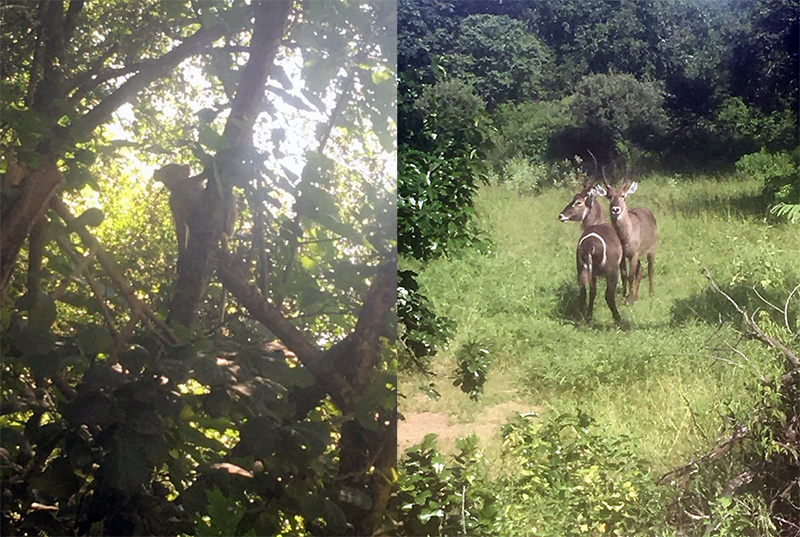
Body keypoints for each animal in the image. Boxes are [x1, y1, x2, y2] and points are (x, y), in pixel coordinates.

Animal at [556, 179, 624, 322]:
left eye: (578, 201)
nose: (561, 216)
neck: (598, 222)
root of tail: (590, 245)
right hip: (611, 270)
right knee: (608, 295)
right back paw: (617, 319)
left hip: (581, 267)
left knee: (585, 292)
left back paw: (585, 316)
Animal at [592, 175, 656, 304]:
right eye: (609, 196)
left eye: (623, 195)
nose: (616, 209)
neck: (625, 236)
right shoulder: (623, 257)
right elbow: (624, 275)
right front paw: (624, 296)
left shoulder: (634, 254)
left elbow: (631, 276)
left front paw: (630, 300)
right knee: (640, 269)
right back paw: (636, 295)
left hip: (651, 250)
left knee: (650, 269)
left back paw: (651, 292)